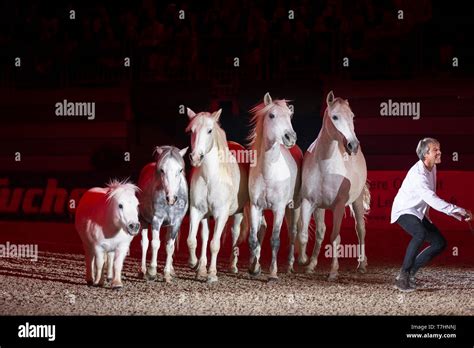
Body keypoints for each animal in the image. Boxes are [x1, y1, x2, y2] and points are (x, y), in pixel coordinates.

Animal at [137, 144, 189, 282]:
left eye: (180, 170)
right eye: (162, 170)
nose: (171, 198)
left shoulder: (176, 223)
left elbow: (169, 246)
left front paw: (167, 274)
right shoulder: (156, 220)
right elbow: (155, 244)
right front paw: (152, 272)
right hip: (144, 221)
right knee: (144, 244)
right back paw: (143, 270)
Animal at [187, 107, 250, 282]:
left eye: (209, 130)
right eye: (192, 131)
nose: (196, 157)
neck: (210, 177)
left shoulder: (221, 214)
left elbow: (215, 244)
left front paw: (212, 274)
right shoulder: (197, 211)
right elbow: (193, 240)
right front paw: (196, 265)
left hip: (238, 213)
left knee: (235, 234)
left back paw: (233, 266)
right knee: (205, 236)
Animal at [246, 93, 302, 280]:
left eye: (290, 116)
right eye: (271, 115)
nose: (290, 138)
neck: (268, 173)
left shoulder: (279, 208)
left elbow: (275, 239)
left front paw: (273, 273)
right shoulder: (255, 206)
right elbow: (253, 238)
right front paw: (254, 267)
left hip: (294, 207)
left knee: (293, 233)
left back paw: (290, 266)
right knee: (262, 229)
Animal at [296, 90, 370, 280]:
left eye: (352, 116)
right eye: (335, 117)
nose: (353, 145)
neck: (325, 166)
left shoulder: (338, 206)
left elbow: (335, 238)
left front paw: (333, 271)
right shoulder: (309, 203)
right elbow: (304, 234)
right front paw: (304, 260)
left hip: (357, 201)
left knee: (360, 229)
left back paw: (361, 265)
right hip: (320, 208)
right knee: (321, 232)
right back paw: (311, 265)